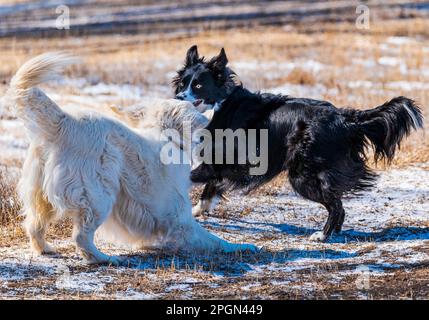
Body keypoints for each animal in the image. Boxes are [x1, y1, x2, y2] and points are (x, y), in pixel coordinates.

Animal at [4, 52, 254, 262]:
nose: (184, 96)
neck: (164, 133)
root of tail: (65, 122)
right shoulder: (179, 216)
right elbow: (215, 239)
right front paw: (245, 247)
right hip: (98, 196)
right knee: (81, 237)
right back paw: (103, 258)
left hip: (40, 196)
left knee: (34, 226)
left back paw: (45, 249)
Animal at [172, 44, 422, 240]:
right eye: (183, 83)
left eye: (198, 86)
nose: (178, 97)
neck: (219, 105)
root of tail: (345, 118)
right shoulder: (222, 165)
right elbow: (210, 188)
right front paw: (197, 211)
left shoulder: (221, 162)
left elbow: (195, 178)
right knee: (337, 203)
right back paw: (333, 233)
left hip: (303, 174)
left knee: (336, 205)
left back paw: (322, 235)